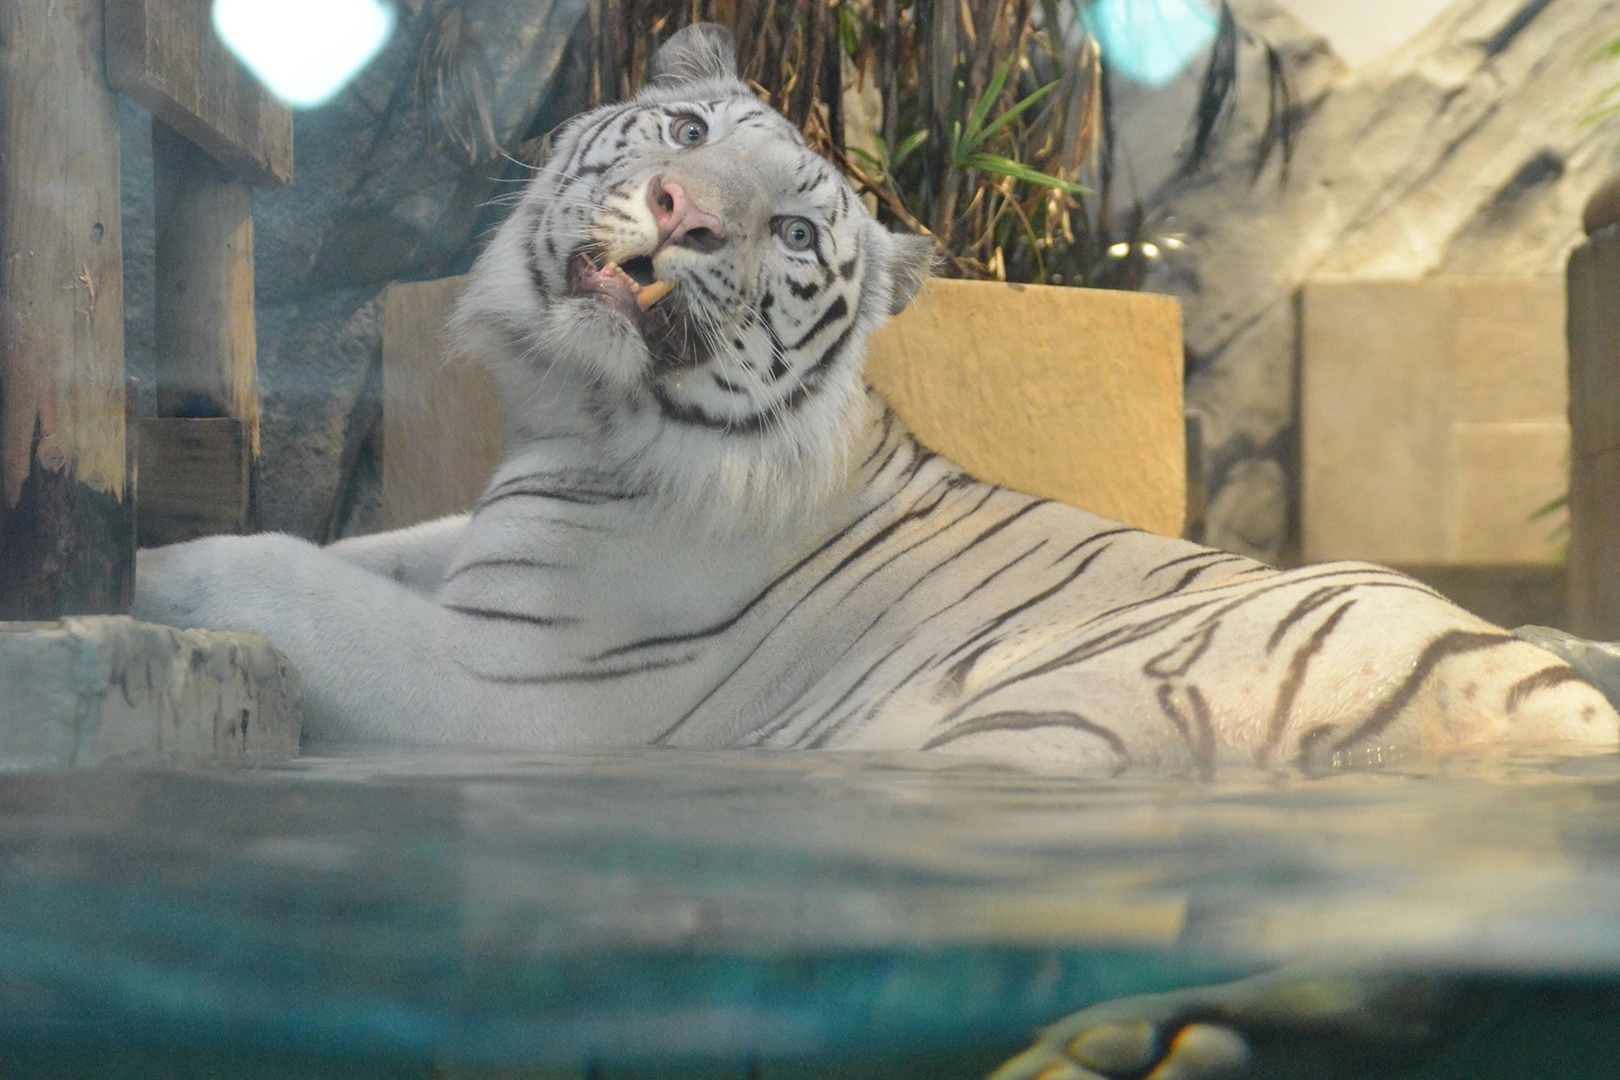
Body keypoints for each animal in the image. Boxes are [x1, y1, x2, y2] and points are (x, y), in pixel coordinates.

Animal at [132, 23, 1620, 1080]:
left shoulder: (511, 697)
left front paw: (144, 574)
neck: (584, 413)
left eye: (791, 231)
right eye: (683, 128)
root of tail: (1548, 692)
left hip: (1056, 722)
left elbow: (281, 576)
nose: (677, 209)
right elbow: (360, 545)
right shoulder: (473, 557)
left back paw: (1110, 1038)